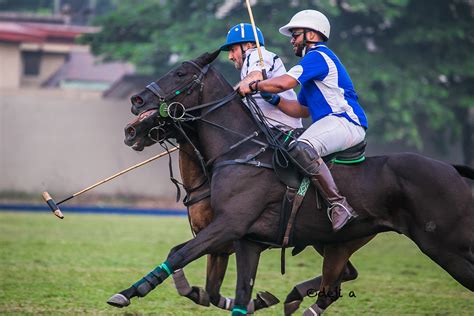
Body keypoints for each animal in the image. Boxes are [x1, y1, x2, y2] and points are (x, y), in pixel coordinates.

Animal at [108, 50, 474, 314]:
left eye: (181, 73)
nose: (135, 107)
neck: (239, 151)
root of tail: (454, 170)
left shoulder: (228, 226)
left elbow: (179, 253)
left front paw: (129, 292)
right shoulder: (245, 241)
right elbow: (226, 293)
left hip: (445, 245)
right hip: (341, 241)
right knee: (340, 277)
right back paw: (297, 297)